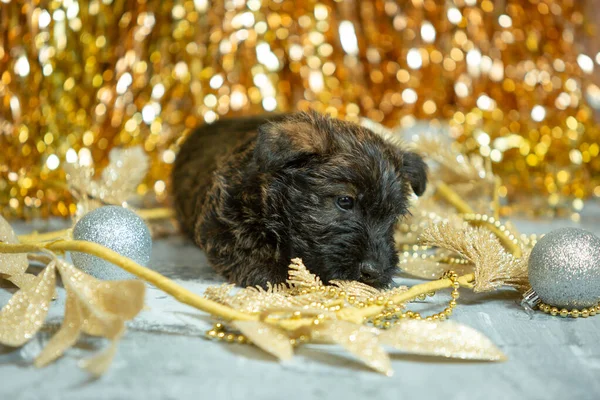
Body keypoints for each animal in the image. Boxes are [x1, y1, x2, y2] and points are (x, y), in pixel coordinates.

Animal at [171, 111, 428, 290]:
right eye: (345, 201)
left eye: (392, 218)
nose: (374, 272)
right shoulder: (220, 225)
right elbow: (247, 248)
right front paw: (275, 274)